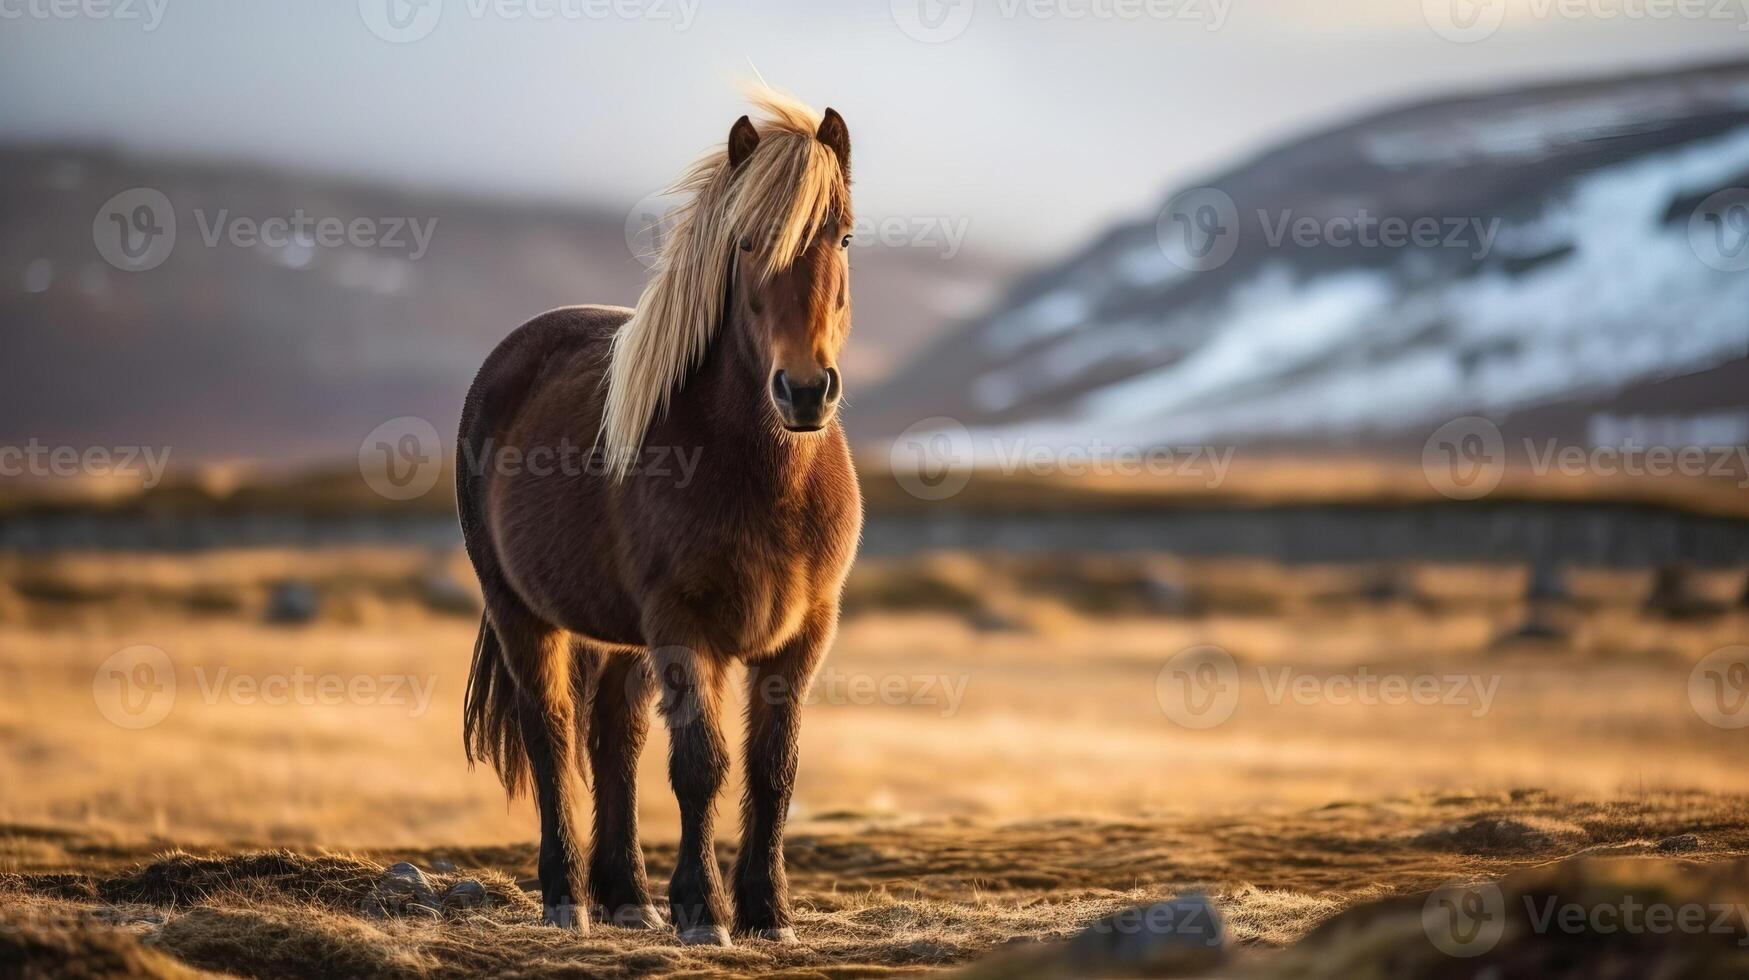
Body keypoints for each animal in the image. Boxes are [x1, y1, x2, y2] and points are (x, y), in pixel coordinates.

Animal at [451, 87, 860, 945]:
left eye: (843, 235)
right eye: (745, 242)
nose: (804, 391)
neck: (763, 477)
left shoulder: (805, 634)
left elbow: (774, 770)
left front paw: (768, 913)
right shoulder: (682, 626)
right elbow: (701, 765)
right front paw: (704, 911)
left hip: (620, 638)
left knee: (614, 738)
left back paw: (627, 897)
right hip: (522, 613)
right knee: (551, 733)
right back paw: (567, 898)